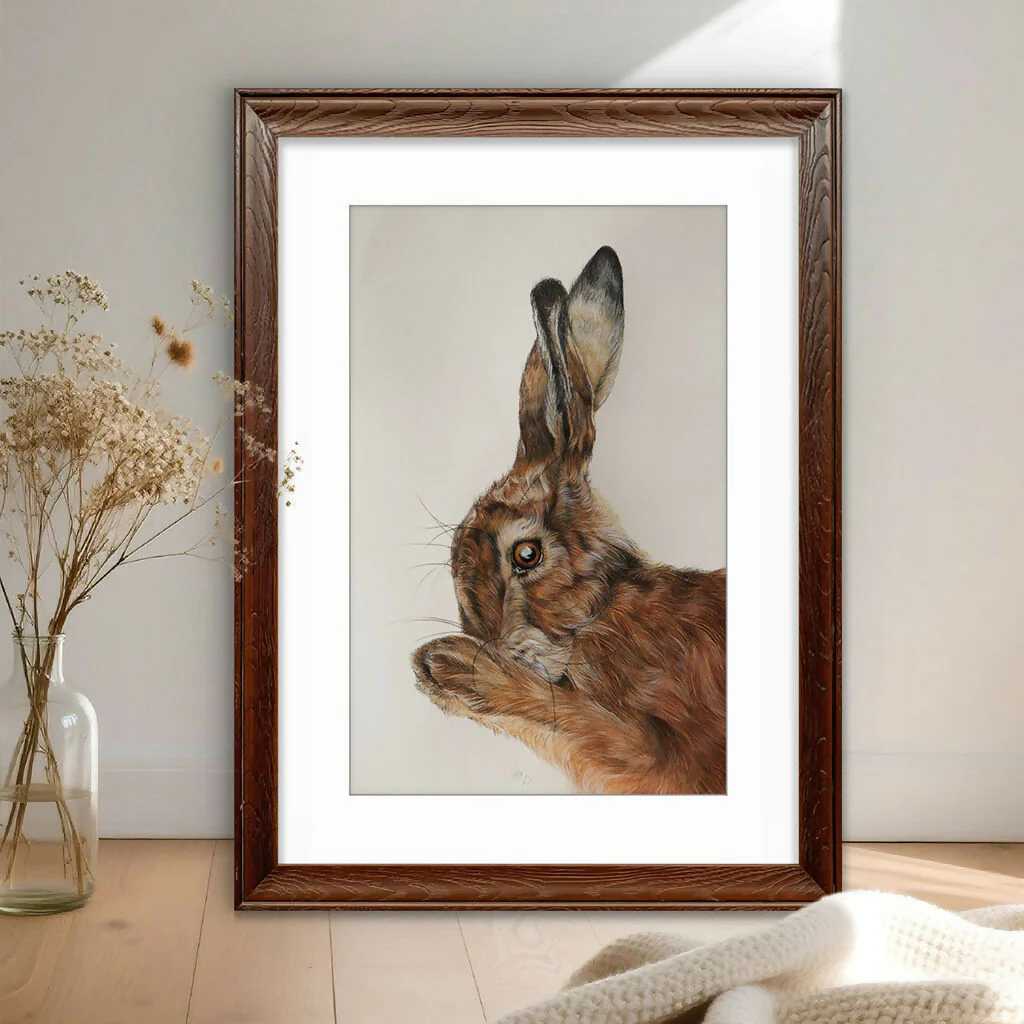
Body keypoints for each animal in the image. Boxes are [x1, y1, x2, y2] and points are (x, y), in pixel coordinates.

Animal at [412, 246, 726, 794]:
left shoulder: (665, 754)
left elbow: (573, 715)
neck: (605, 607)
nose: (491, 643)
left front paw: (448, 663)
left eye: (527, 554)